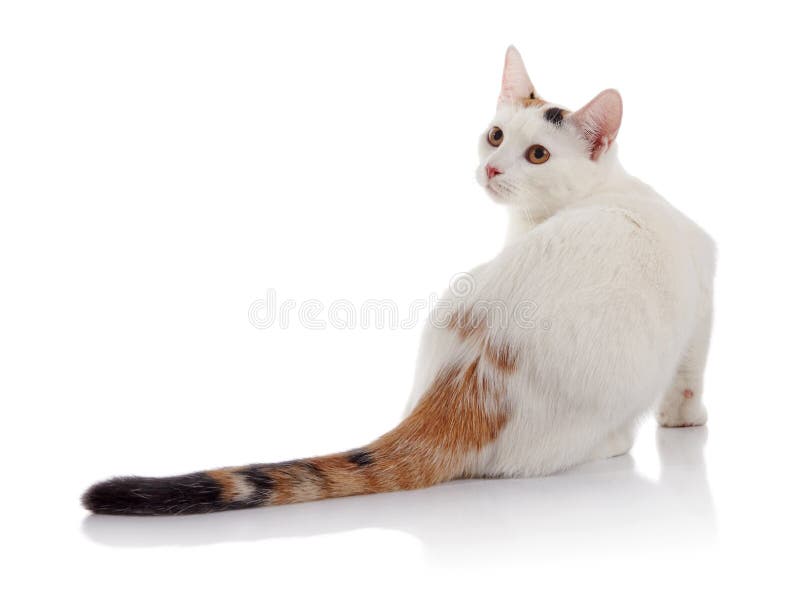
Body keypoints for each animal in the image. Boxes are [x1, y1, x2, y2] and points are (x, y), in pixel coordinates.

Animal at [84, 47, 716, 516]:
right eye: (495, 136)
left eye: (537, 154)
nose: (492, 168)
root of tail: (466, 377)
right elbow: (690, 368)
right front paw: (684, 419)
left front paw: (682, 418)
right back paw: (617, 439)